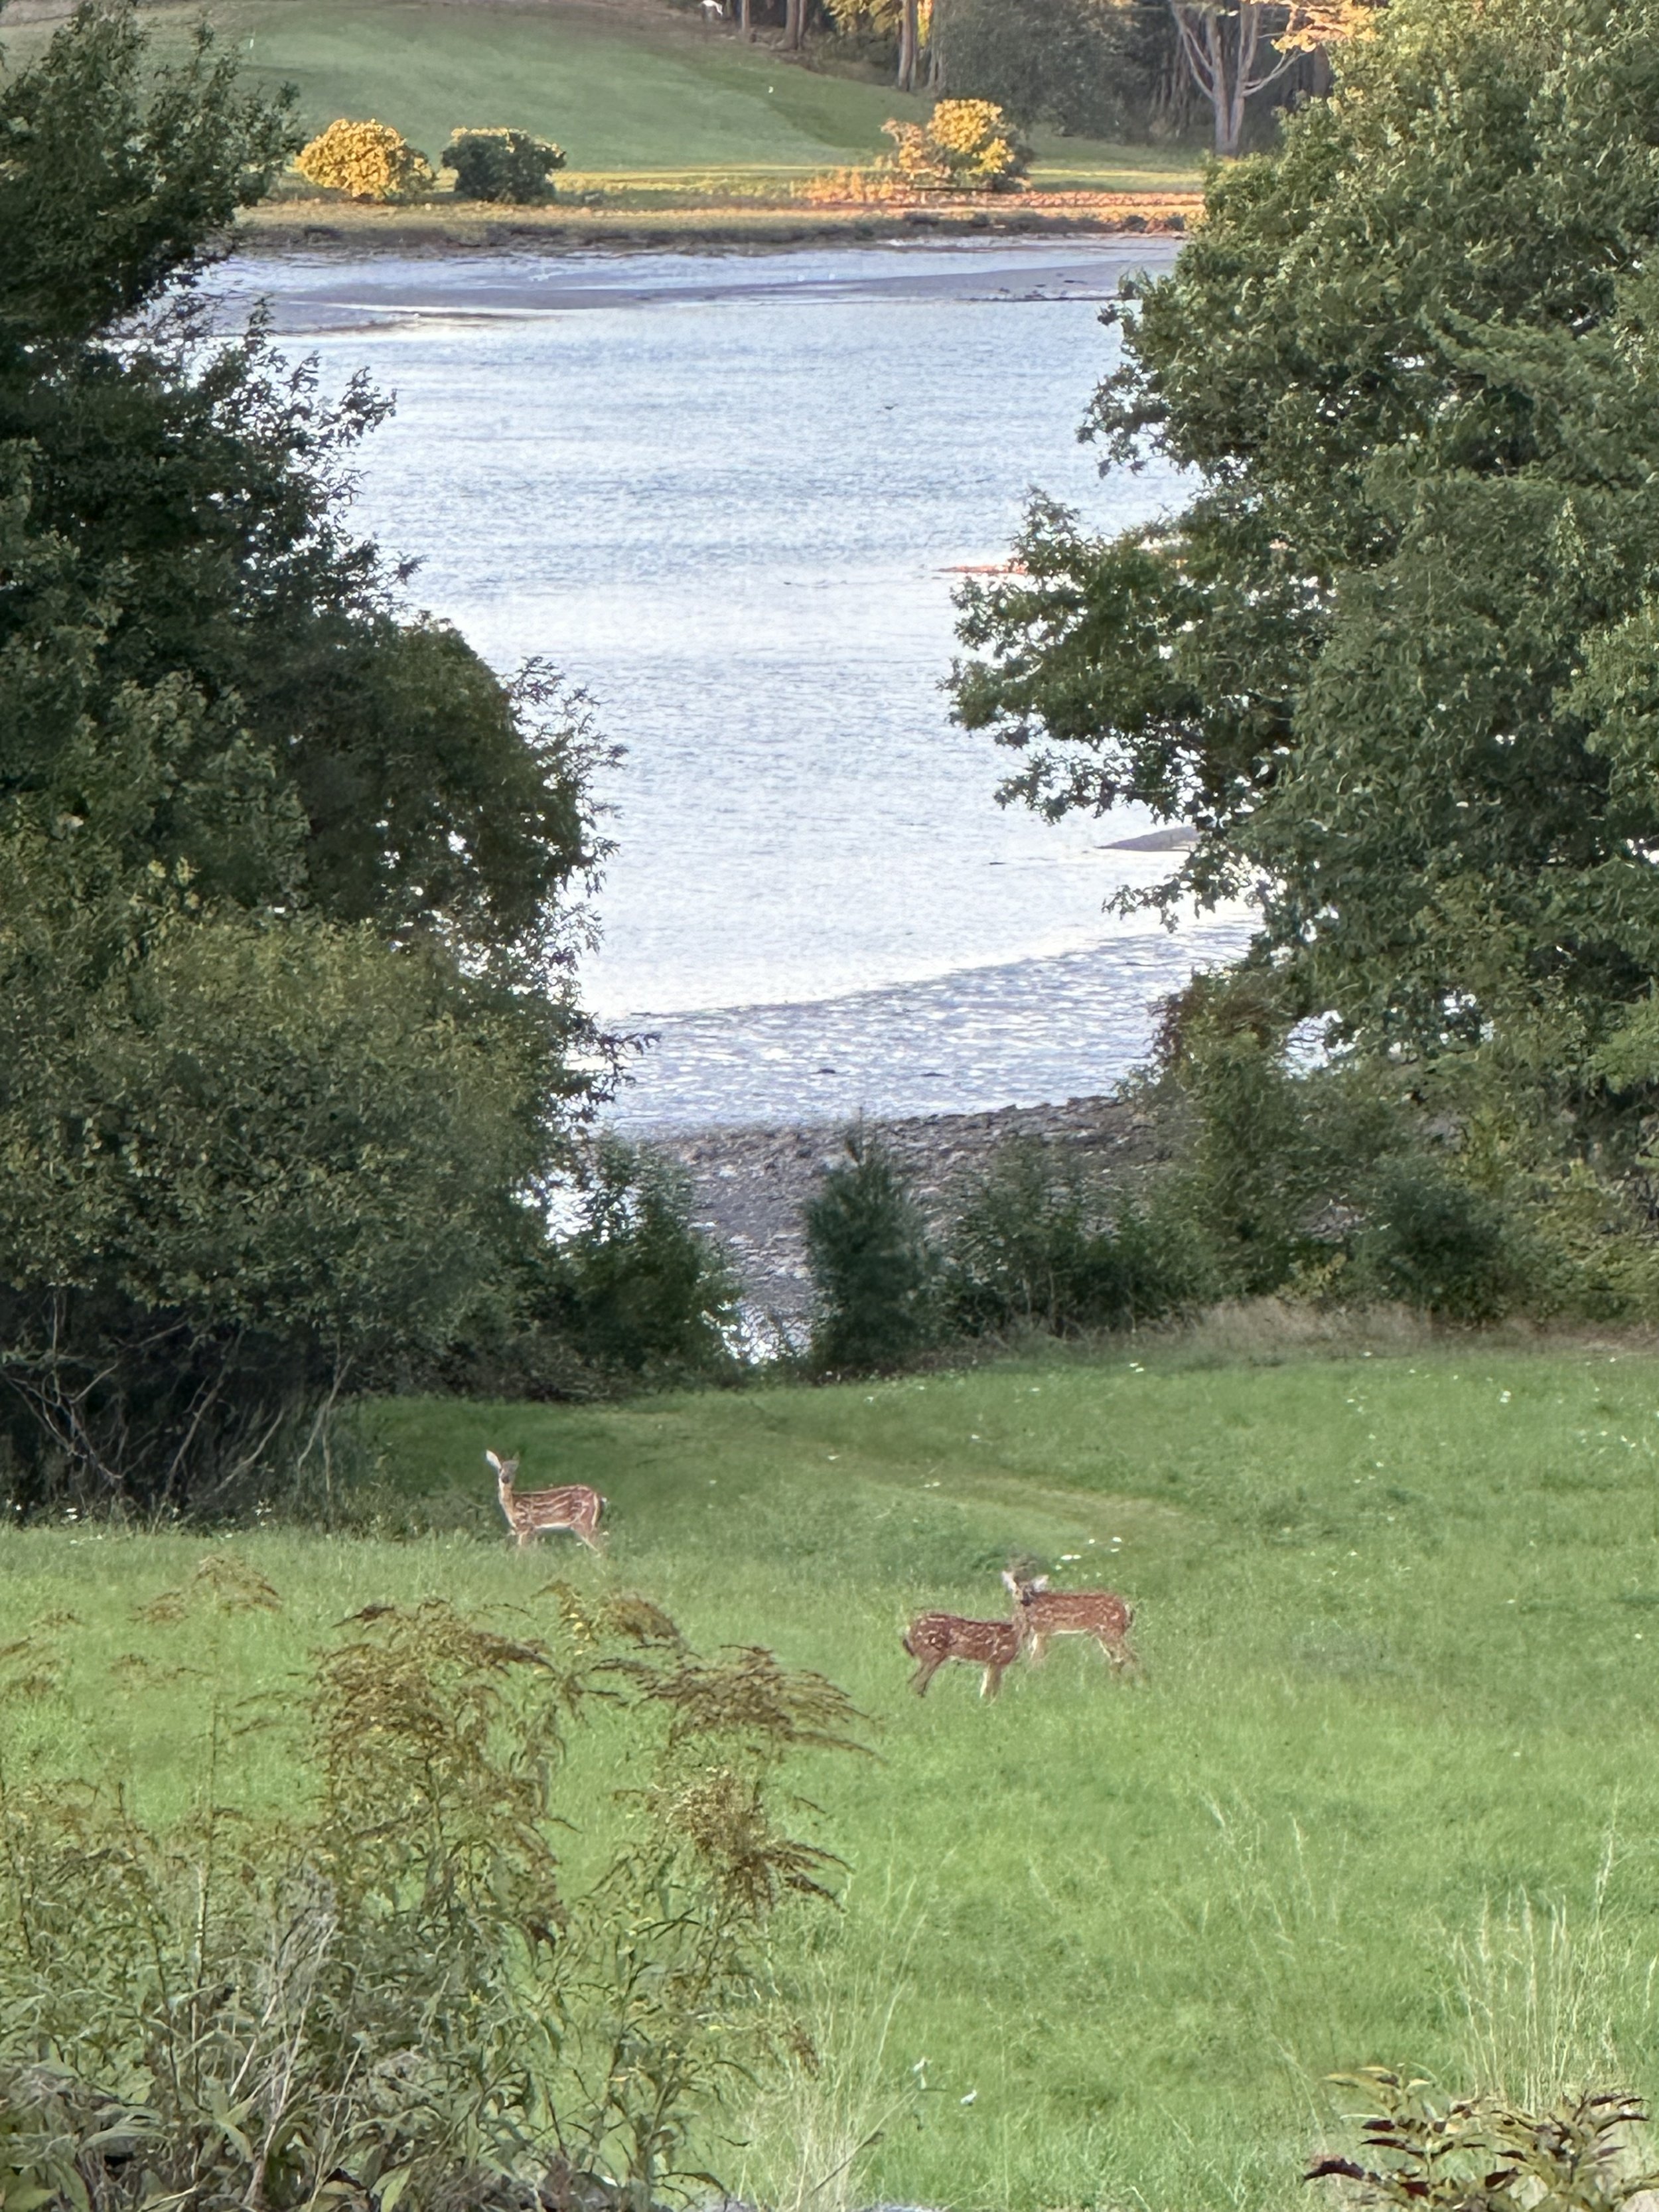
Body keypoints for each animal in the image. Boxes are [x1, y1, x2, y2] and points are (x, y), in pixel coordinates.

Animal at [487, 1450, 606, 1551]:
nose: (505, 1479)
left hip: (585, 1521)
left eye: (514, 1470)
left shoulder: (525, 1525)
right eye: (500, 1469)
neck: (512, 1503)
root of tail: (599, 1497)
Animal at [902, 1610, 1023, 1700]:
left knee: (914, 1682)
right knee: (917, 1682)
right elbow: (991, 1688)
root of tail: (909, 1630)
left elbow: (987, 1687)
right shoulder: (998, 1659)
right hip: (932, 1655)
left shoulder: (992, 1662)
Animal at [1002, 1568, 1137, 1674]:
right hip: (1105, 1634)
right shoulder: (1037, 1631)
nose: (1024, 1600)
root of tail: (1126, 1606)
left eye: (1030, 1591)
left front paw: (1033, 1675)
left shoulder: (1044, 1629)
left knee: (1131, 1657)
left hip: (1111, 1631)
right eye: (1016, 1591)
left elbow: (1037, 1657)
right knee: (1119, 1660)